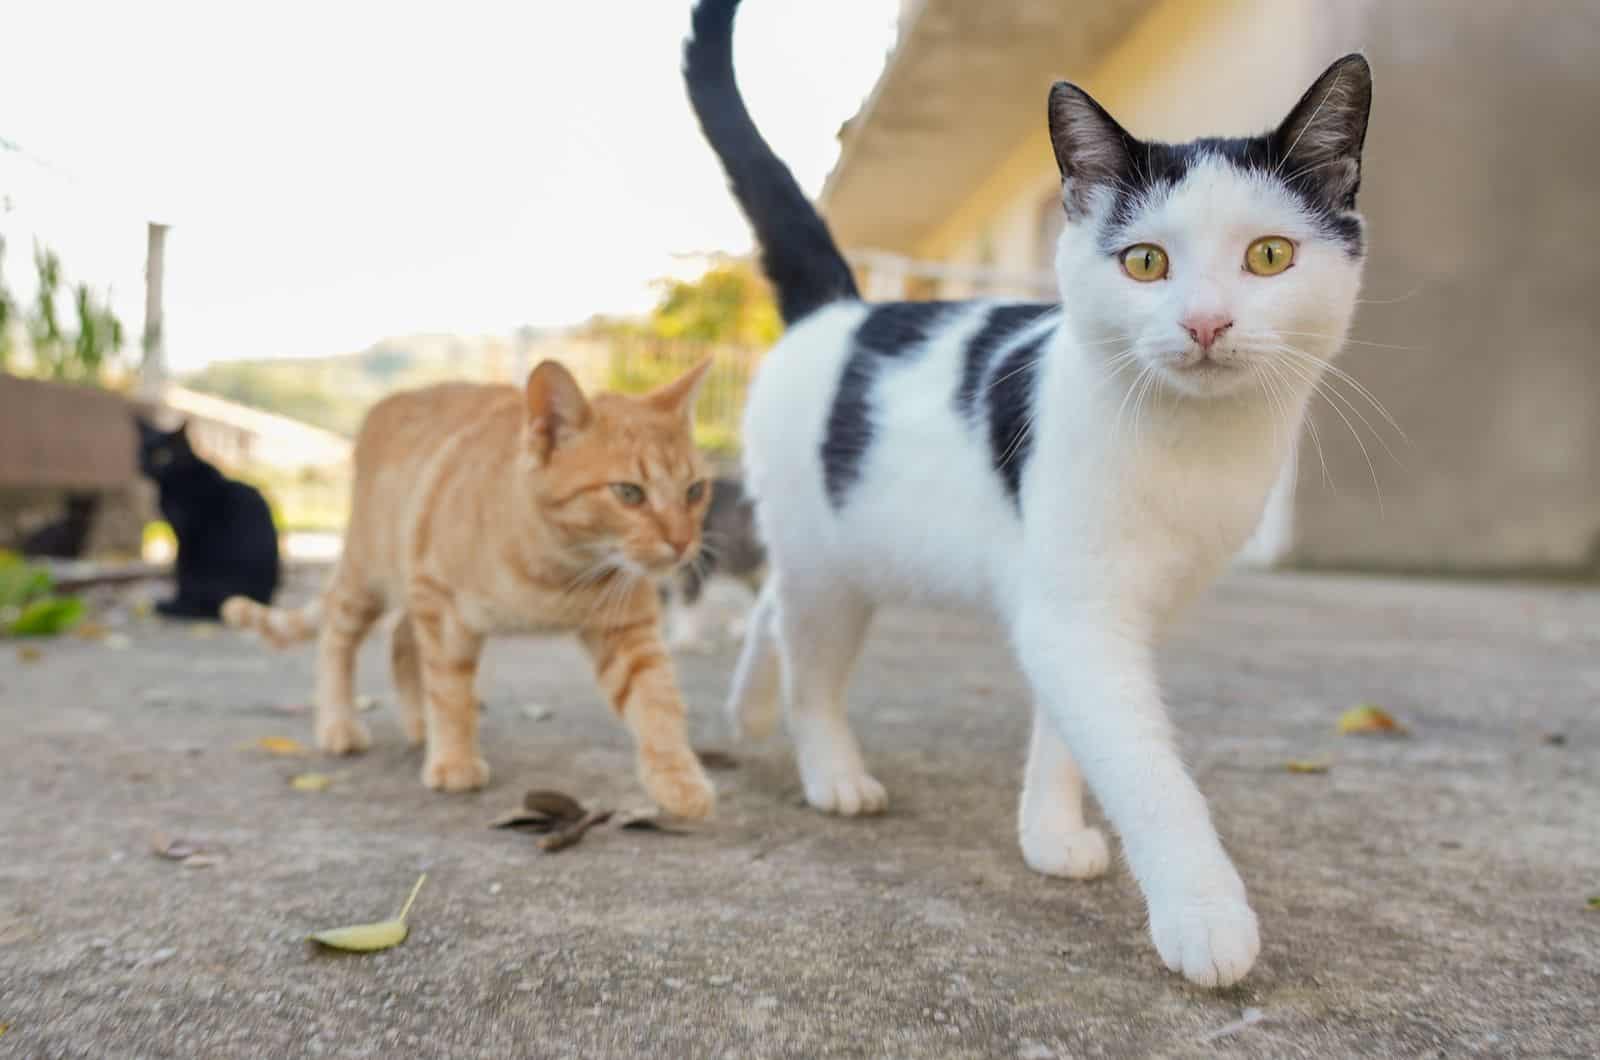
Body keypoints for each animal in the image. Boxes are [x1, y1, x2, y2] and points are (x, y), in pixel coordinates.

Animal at [136, 419, 280, 624]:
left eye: (163, 456)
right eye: (141, 451)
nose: (143, 464)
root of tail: (261, 601)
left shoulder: (185, 535)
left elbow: (180, 572)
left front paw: (176, 602)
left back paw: (176, 608)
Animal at [225, 361, 720, 816]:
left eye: (695, 490)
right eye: (629, 493)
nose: (683, 542)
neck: (555, 573)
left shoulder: (627, 627)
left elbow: (658, 702)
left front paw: (677, 778)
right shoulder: (443, 609)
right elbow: (450, 692)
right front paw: (454, 760)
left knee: (401, 641)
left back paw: (418, 724)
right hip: (368, 579)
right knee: (337, 638)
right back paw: (339, 724)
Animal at [681, 0, 1369, 986]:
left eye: (1270, 255)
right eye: (1146, 263)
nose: (1206, 324)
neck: (1192, 446)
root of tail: (843, 309)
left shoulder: (1083, 610)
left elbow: (1068, 731)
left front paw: (1048, 832)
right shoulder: (1077, 616)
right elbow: (1143, 768)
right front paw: (1204, 913)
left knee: (772, 601)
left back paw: (747, 707)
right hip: (829, 565)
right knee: (810, 658)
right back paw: (830, 772)